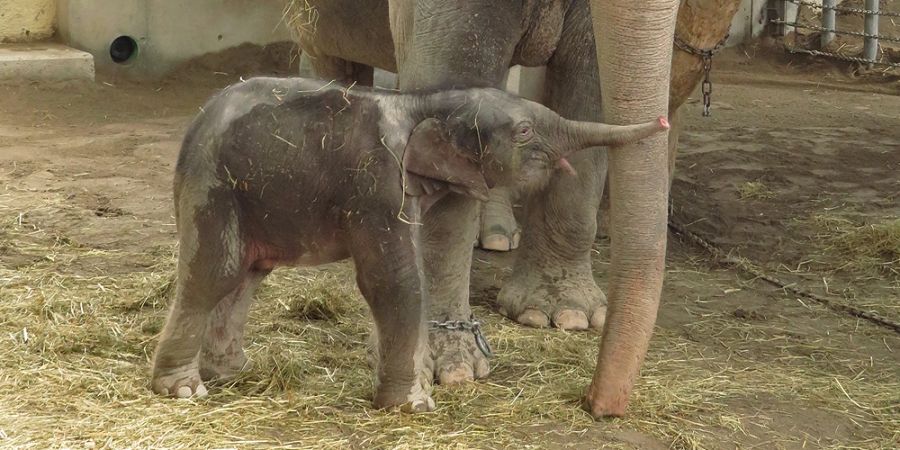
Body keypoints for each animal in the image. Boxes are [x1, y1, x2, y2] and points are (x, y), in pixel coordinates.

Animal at [151, 76, 664, 412]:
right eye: (523, 130)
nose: (661, 120)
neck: (422, 101)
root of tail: (197, 121)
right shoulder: (379, 183)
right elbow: (395, 279)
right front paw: (415, 405)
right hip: (212, 186)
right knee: (216, 271)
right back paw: (185, 390)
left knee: (247, 276)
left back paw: (233, 373)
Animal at [296, 0, 684, 414]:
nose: (596, 405)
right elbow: (453, 71)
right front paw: (445, 369)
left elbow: (588, 82)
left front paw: (564, 316)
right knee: (327, 58)